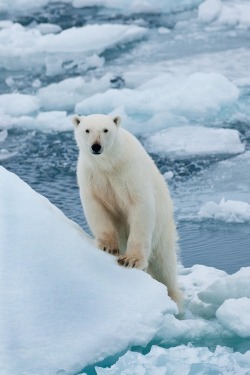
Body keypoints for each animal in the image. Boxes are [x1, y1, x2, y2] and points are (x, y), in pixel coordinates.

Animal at [72, 114, 182, 312]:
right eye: (87, 130)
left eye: (105, 129)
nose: (96, 146)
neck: (109, 164)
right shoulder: (91, 175)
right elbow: (96, 208)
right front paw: (109, 247)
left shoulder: (130, 173)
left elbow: (140, 207)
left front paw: (131, 260)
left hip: (163, 232)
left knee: (165, 266)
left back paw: (173, 298)